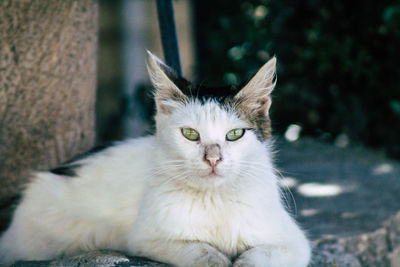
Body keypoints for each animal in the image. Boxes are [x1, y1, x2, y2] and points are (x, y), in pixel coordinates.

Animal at [0, 51, 310, 266]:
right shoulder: (147, 239)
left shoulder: (295, 243)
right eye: (190, 134)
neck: (214, 200)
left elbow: (263, 255)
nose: (213, 159)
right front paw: (217, 258)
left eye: (234, 134)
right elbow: (199, 250)